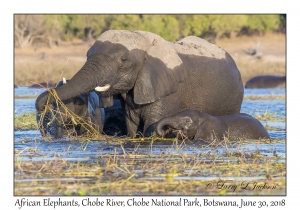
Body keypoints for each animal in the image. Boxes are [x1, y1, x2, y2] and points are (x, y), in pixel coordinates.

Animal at [35, 30, 244, 138]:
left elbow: (153, 124)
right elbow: (132, 124)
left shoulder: (168, 90)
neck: (146, 44)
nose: (42, 107)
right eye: (87, 55)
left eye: (123, 60)